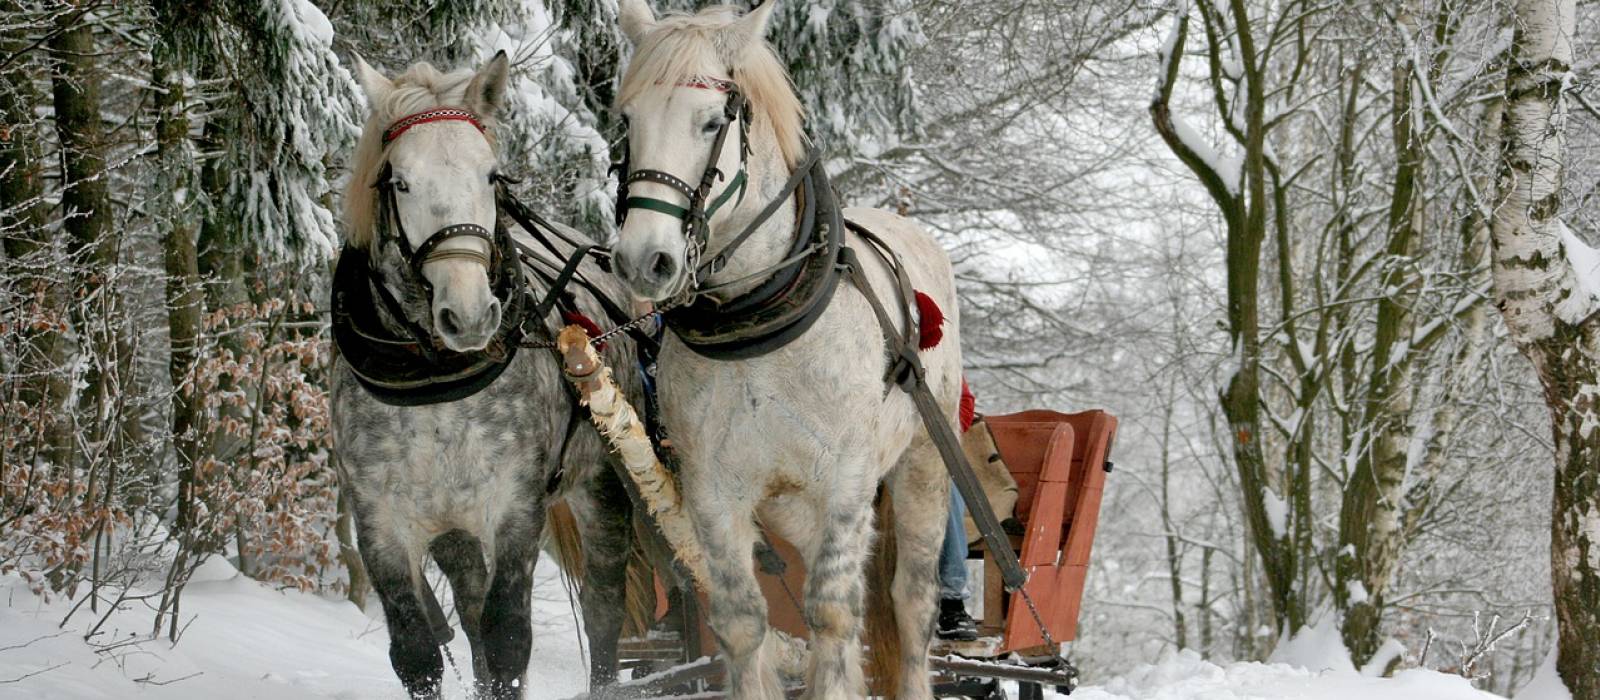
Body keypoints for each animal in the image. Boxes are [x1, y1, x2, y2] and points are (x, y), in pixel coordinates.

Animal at [611, 2, 960, 696]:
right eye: (627, 120)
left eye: (711, 121)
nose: (643, 260)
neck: (758, 328)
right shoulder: (714, 490)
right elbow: (744, 621)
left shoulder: (847, 483)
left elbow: (832, 614)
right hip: (790, 502)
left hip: (923, 465)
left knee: (909, 602)